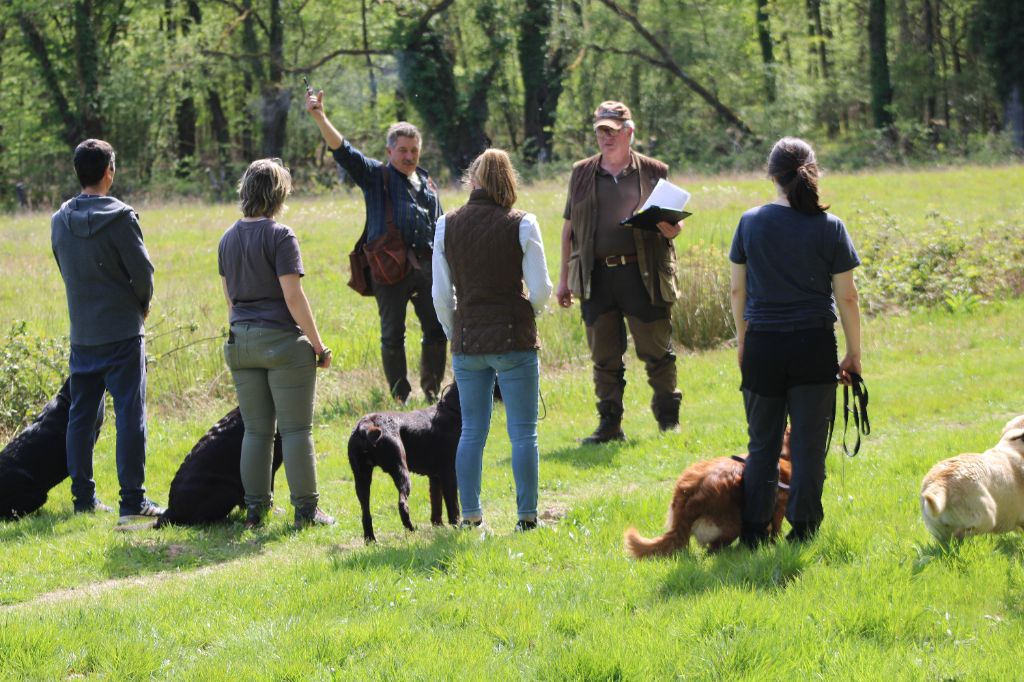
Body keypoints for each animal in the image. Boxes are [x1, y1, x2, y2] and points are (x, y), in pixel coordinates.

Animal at [352, 382, 464, 540]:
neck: (451, 410)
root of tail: (366, 425)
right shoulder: (449, 474)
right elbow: (453, 506)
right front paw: (456, 526)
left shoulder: (435, 477)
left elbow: (436, 504)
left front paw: (438, 527)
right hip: (401, 471)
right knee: (402, 504)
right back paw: (411, 529)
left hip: (362, 480)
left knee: (365, 513)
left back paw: (371, 540)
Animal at [622, 432, 790, 557]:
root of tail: (687, 497)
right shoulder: (779, 507)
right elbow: (776, 528)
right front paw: (776, 542)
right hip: (731, 526)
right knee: (712, 550)